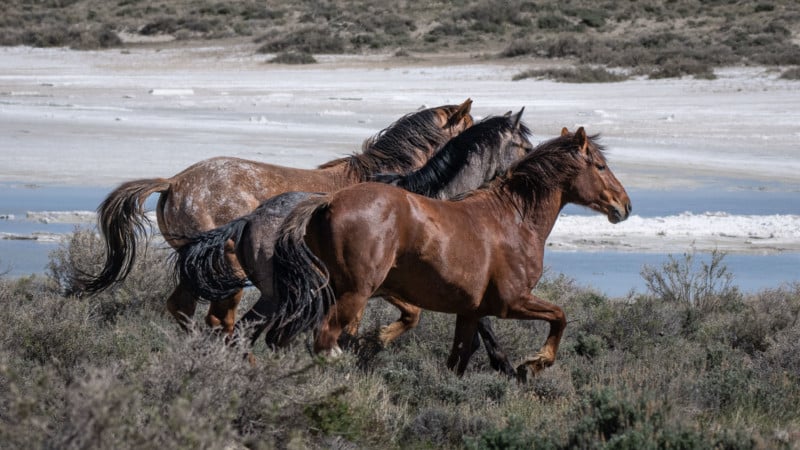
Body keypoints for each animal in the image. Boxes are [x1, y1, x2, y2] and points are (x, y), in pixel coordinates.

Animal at [78, 101, 472, 334]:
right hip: (226, 270)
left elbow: (406, 312)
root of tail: (174, 182)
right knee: (218, 318)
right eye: (470, 124)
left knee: (184, 308)